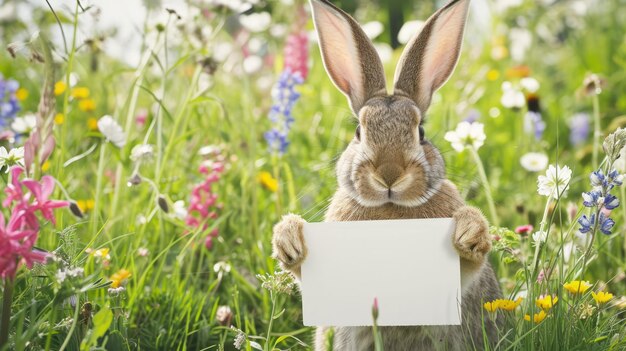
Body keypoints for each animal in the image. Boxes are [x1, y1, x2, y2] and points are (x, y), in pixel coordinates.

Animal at [270, 0, 500, 350]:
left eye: (421, 132)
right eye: (358, 132)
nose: (389, 174)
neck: (390, 211)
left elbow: (470, 265)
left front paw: (468, 232)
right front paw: (290, 239)